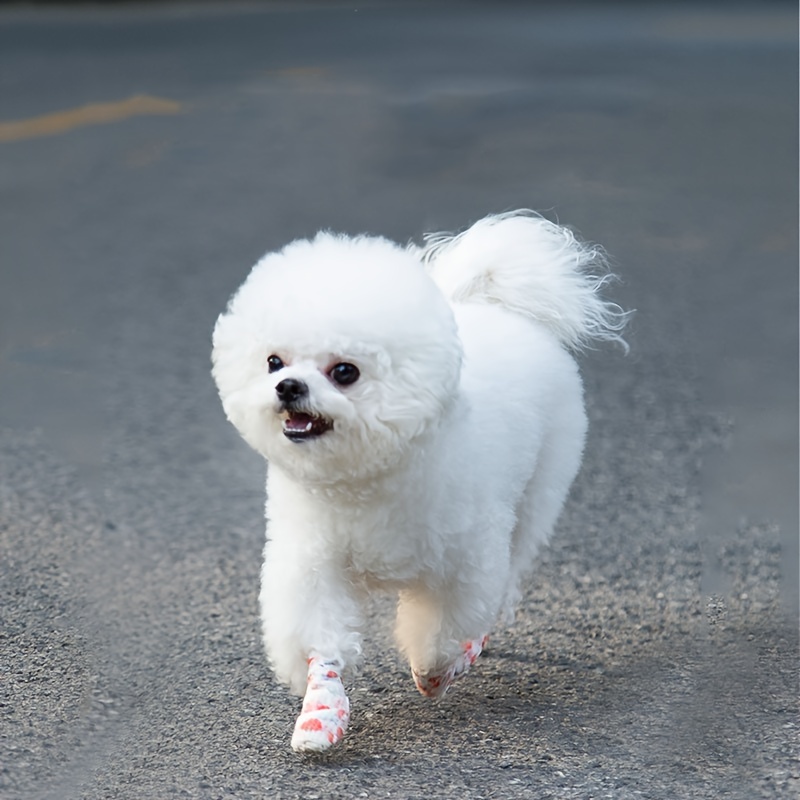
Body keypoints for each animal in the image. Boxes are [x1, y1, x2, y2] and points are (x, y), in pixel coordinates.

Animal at [211, 211, 624, 752]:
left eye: (345, 371)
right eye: (273, 362)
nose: (287, 387)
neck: (367, 477)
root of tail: (499, 306)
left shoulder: (460, 561)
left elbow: (444, 623)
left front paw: (436, 669)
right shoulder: (315, 558)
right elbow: (319, 636)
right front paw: (321, 713)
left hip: (537, 495)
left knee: (509, 569)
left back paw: (471, 649)